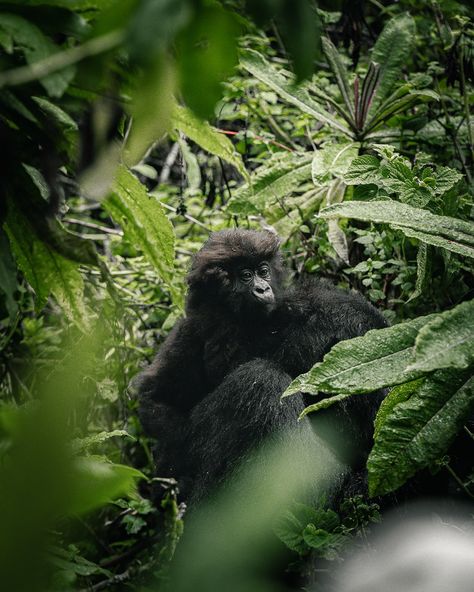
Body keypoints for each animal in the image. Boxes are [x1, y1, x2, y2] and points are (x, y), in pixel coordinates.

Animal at [135, 230, 386, 504]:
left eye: (263, 271)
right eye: (245, 275)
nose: (263, 288)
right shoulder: (192, 328)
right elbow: (154, 396)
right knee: (261, 379)